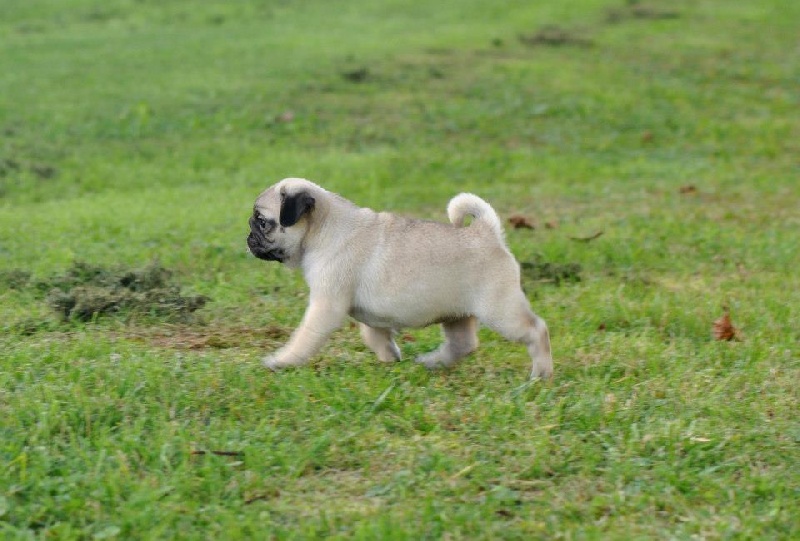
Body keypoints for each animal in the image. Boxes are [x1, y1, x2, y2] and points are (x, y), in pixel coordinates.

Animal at [247, 176, 552, 376]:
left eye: (262, 222)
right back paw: (432, 362)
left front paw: (283, 361)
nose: (248, 237)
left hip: (499, 311)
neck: (322, 230)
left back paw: (541, 374)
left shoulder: (326, 306)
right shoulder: (370, 315)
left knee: (536, 330)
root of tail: (486, 232)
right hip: (457, 313)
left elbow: (305, 337)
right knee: (463, 344)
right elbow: (374, 335)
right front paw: (390, 357)